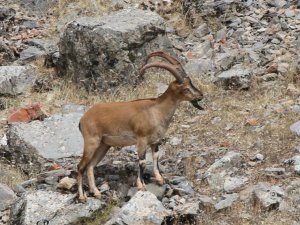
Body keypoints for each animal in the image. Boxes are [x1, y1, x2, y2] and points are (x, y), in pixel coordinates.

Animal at [77, 51, 204, 202]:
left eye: (191, 83)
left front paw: (160, 179)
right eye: (186, 88)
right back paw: (82, 196)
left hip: (103, 145)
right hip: (91, 141)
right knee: (81, 166)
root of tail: (83, 119)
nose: (200, 95)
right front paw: (141, 186)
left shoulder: (155, 141)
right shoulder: (142, 139)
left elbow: (155, 156)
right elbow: (142, 161)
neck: (156, 110)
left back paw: (96, 192)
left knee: (90, 166)